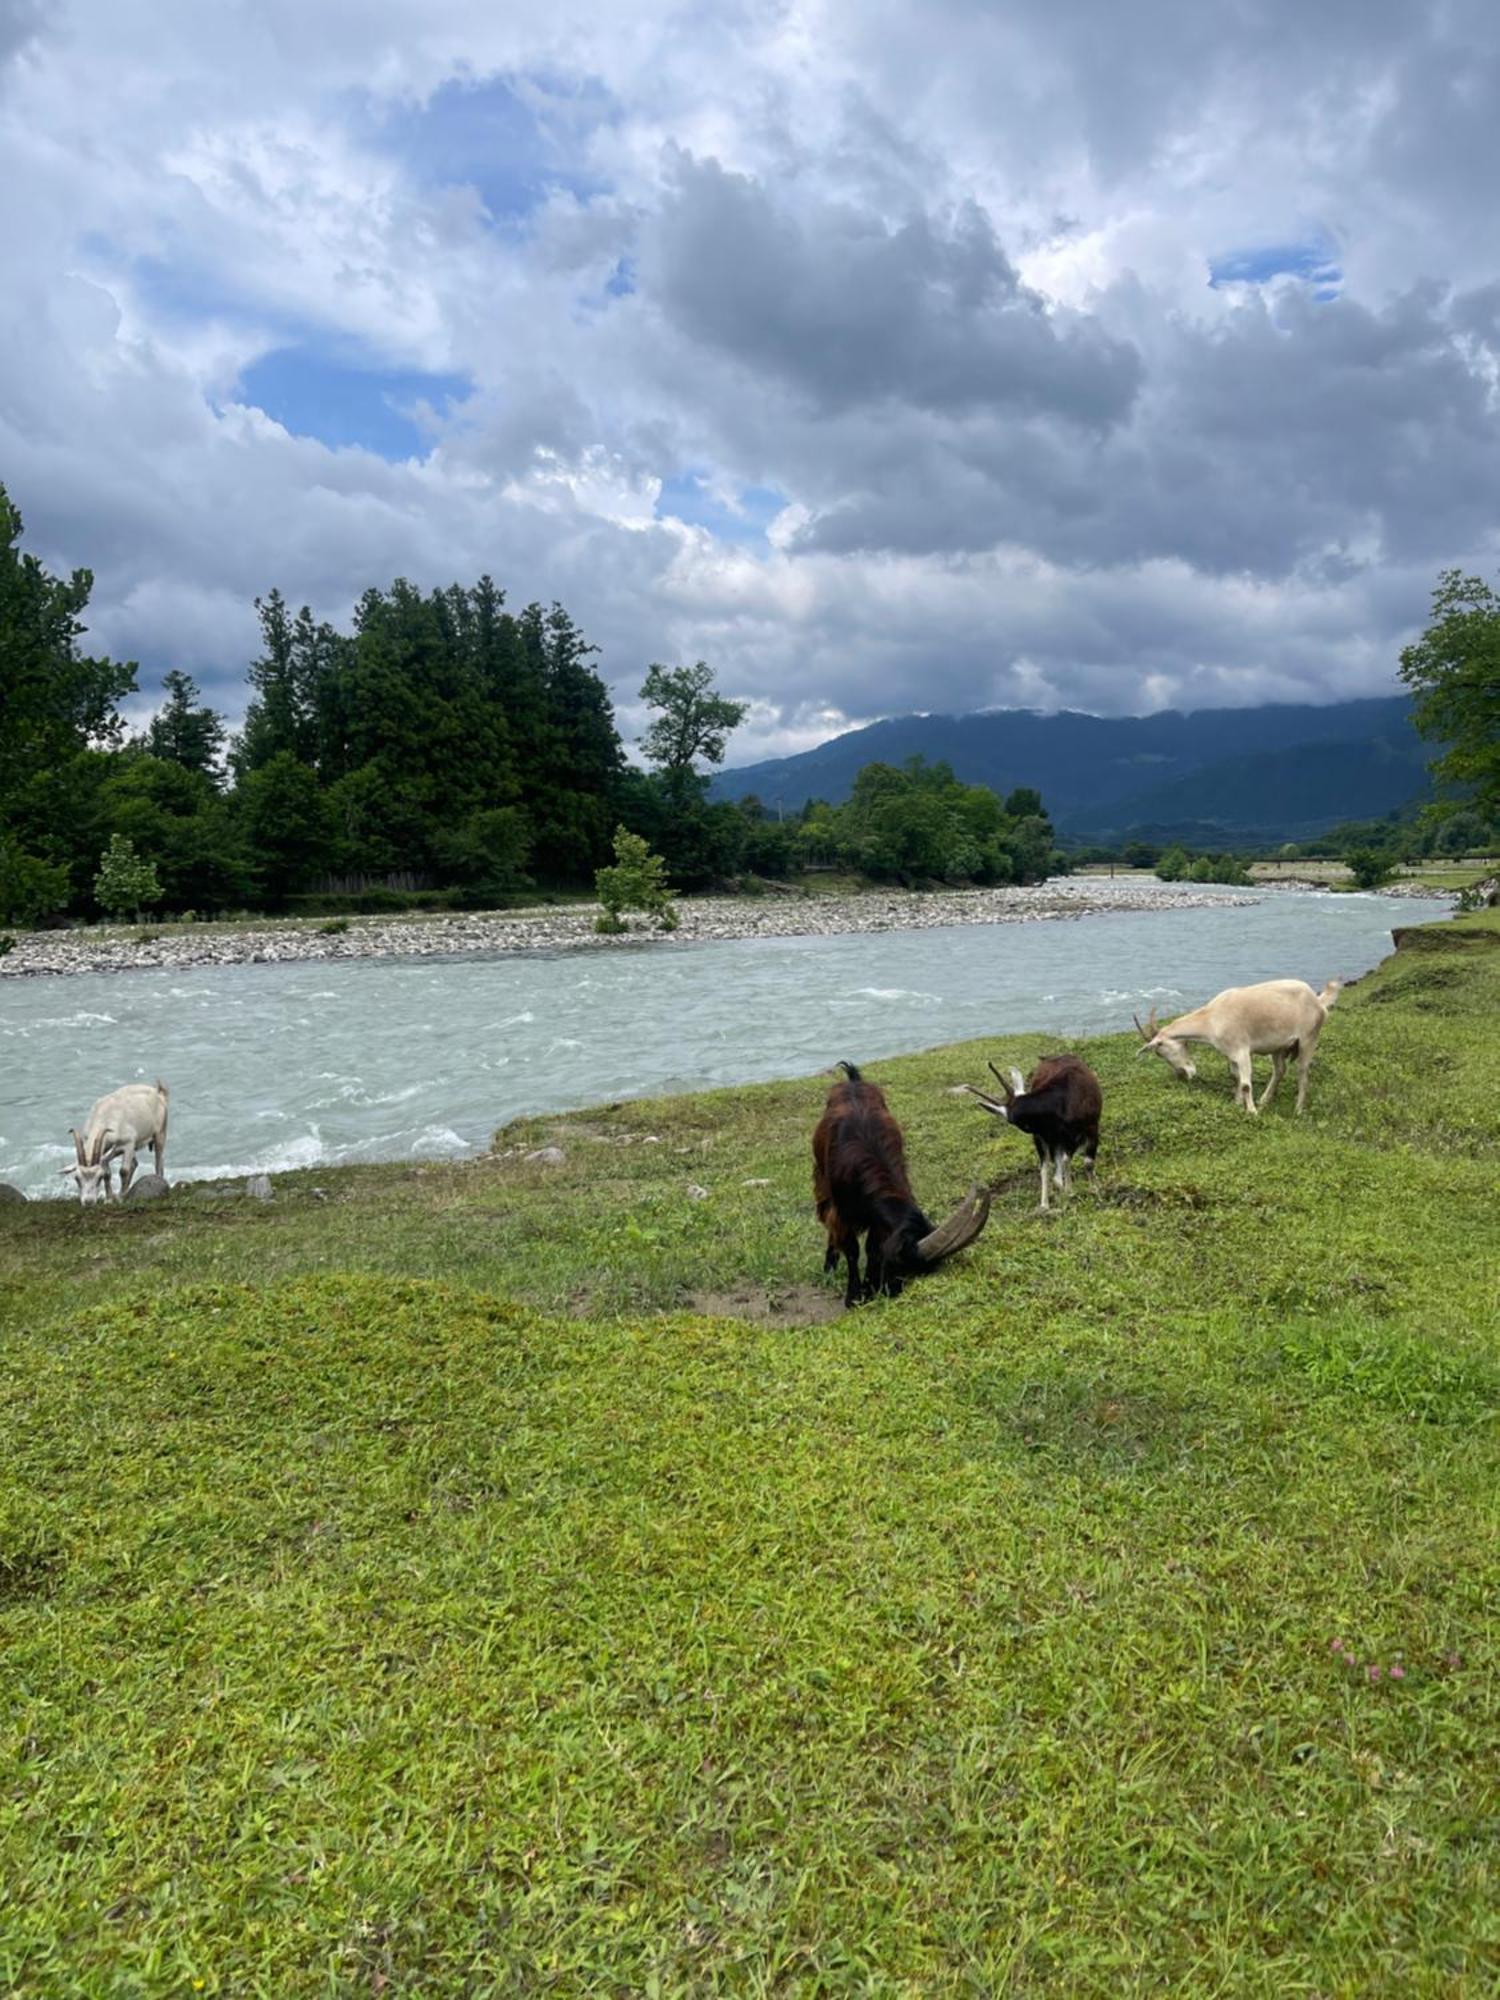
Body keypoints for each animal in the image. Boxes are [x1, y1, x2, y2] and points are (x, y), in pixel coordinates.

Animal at [816, 1064, 992, 1312]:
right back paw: (829, 1266)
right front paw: (854, 1297)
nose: (892, 1291)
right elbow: (851, 1249)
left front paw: (869, 1289)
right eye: (901, 1262)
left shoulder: (878, 1221)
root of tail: (852, 1080)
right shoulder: (844, 1212)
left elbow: (872, 1247)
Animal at [964, 1056, 1104, 1208]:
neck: (1063, 1100)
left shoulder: (1089, 1128)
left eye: (1015, 1120)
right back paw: (1046, 1203)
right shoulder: (1048, 1137)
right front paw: (1068, 1193)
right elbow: (1055, 1171)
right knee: (1049, 1167)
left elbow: (1086, 1163)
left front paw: (1095, 1191)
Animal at [1136, 980, 1344, 1120]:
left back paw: (1298, 1109)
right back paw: (1265, 1100)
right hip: (1278, 1045)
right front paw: (1237, 1103)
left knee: (1302, 1073)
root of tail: (1318, 1002)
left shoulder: (1242, 1050)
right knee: (1279, 1070)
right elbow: (1235, 1076)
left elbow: (1245, 1084)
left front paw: (1251, 1112)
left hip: (1309, 1037)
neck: (1212, 1018)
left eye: (1160, 1051)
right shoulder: (1231, 1054)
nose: (1184, 1074)